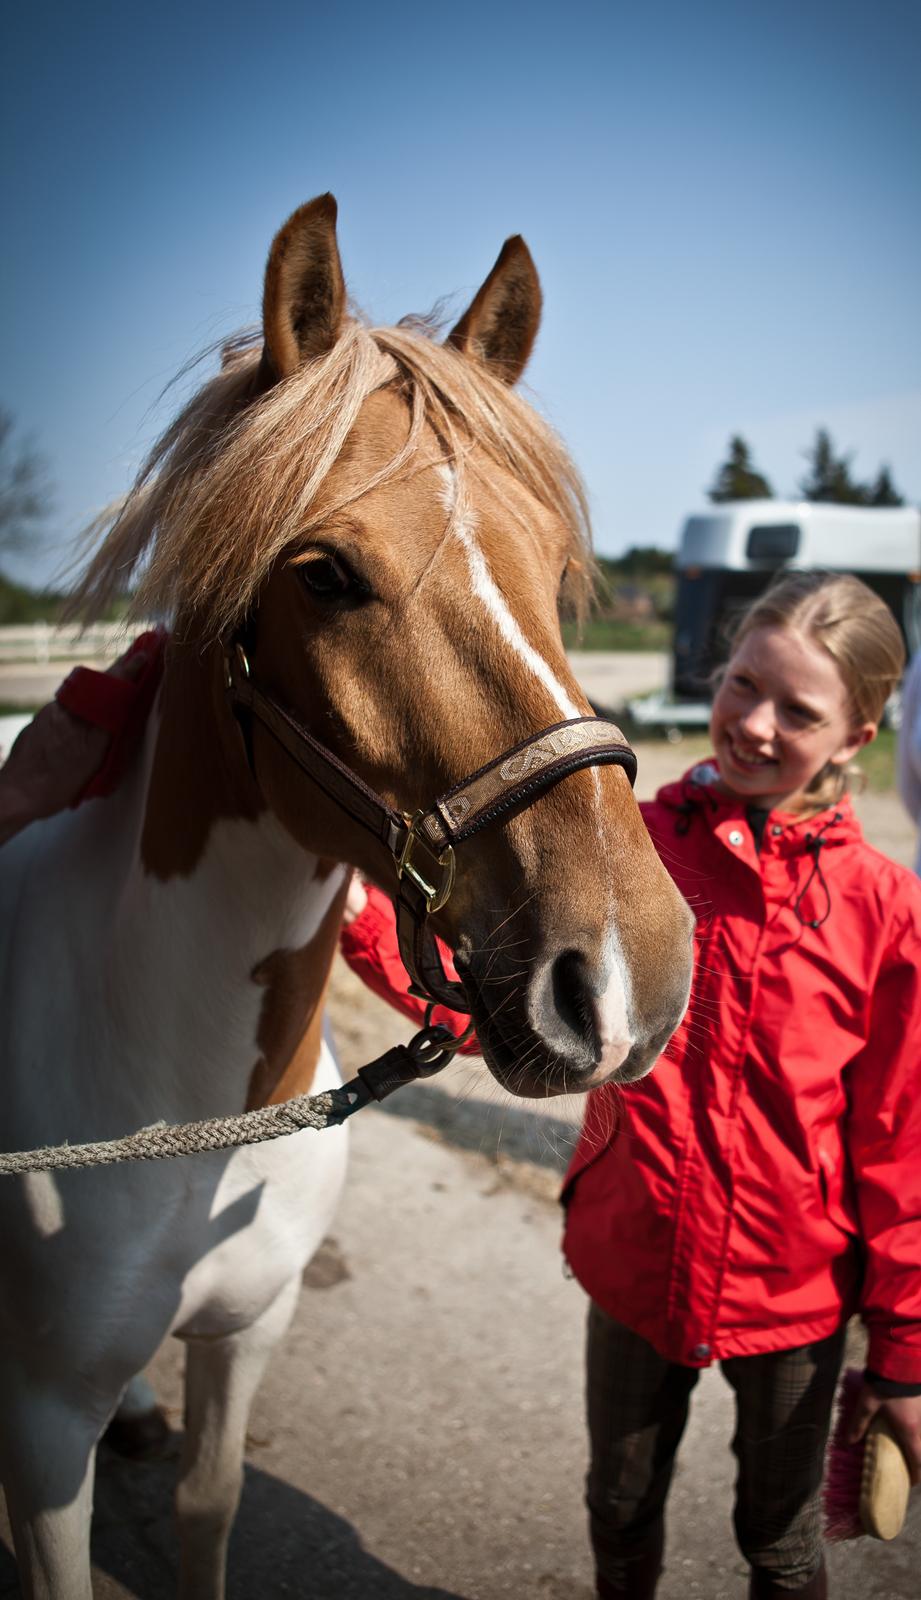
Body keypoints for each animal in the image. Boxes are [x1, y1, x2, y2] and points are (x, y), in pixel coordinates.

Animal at [0, 193, 690, 1593]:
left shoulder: (248, 1335)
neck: (197, 1121)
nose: (627, 975)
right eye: (323, 573)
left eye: (556, 565)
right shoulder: (39, 1434)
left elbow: (208, 1507)